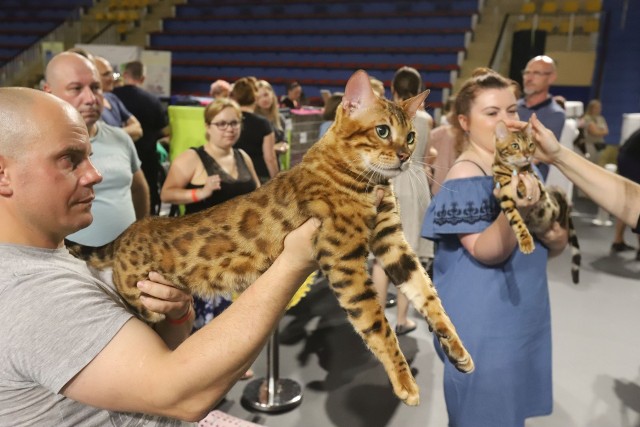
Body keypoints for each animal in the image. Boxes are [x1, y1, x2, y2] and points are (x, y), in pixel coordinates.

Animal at [67, 69, 472, 404]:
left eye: (412, 135)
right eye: (382, 131)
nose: (405, 156)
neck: (369, 181)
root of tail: (128, 232)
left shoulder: (391, 242)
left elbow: (429, 296)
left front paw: (458, 350)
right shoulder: (343, 257)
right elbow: (376, 323)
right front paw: (404, 383)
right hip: (141, 303)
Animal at [492, 121, 584, 284]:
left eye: (531, 144)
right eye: (515, 146)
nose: (528, 155)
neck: (513, 170)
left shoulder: (540, 188)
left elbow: (527, 176)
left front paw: (522, 179)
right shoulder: (505, 198)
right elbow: (516, 221)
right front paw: (526, 241)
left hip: (556, 197)